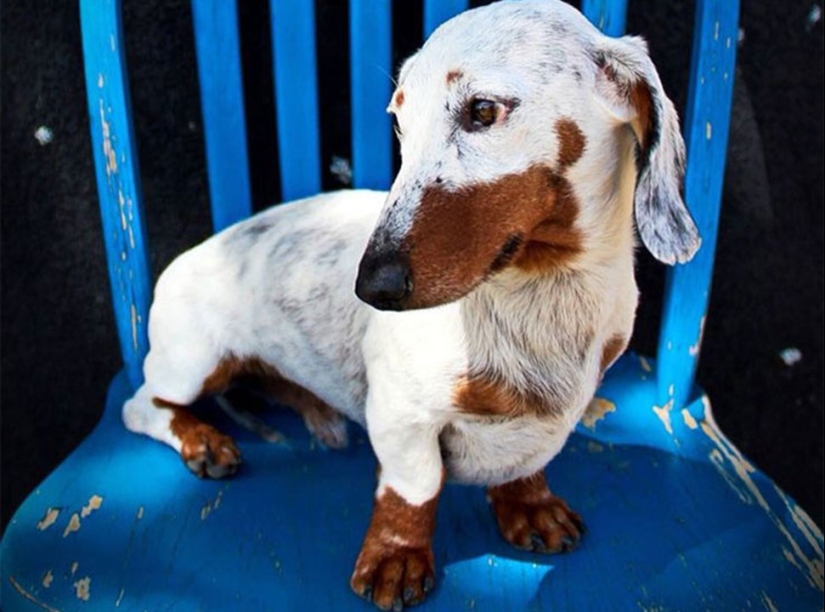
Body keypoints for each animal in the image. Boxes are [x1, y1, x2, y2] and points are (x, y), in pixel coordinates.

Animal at [125, 1, 700, 608]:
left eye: (483, 110)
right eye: (400, 122)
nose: (371, 286)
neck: (541, 289)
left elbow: (528, 462)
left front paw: (529, 504)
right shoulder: (400, 414)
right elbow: (415, 486)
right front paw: (396, 555)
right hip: (193, 364)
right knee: (143, 406)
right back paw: (203, 441)